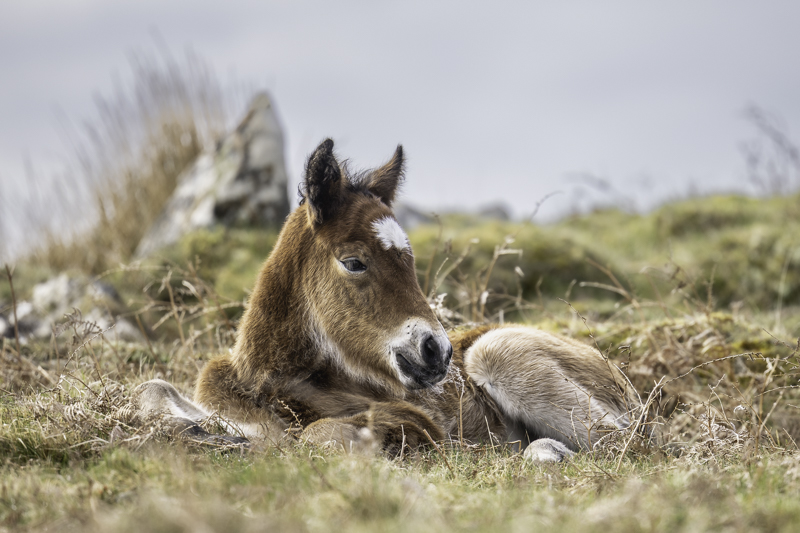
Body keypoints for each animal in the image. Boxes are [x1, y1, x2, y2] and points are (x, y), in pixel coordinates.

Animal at [135, 138, 638, 462]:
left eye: (411, 259)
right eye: (354, 262)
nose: (437, 351)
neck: (265, 386)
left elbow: (320, 435)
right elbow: (153, 389)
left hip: (500, 353)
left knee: (624, 442)